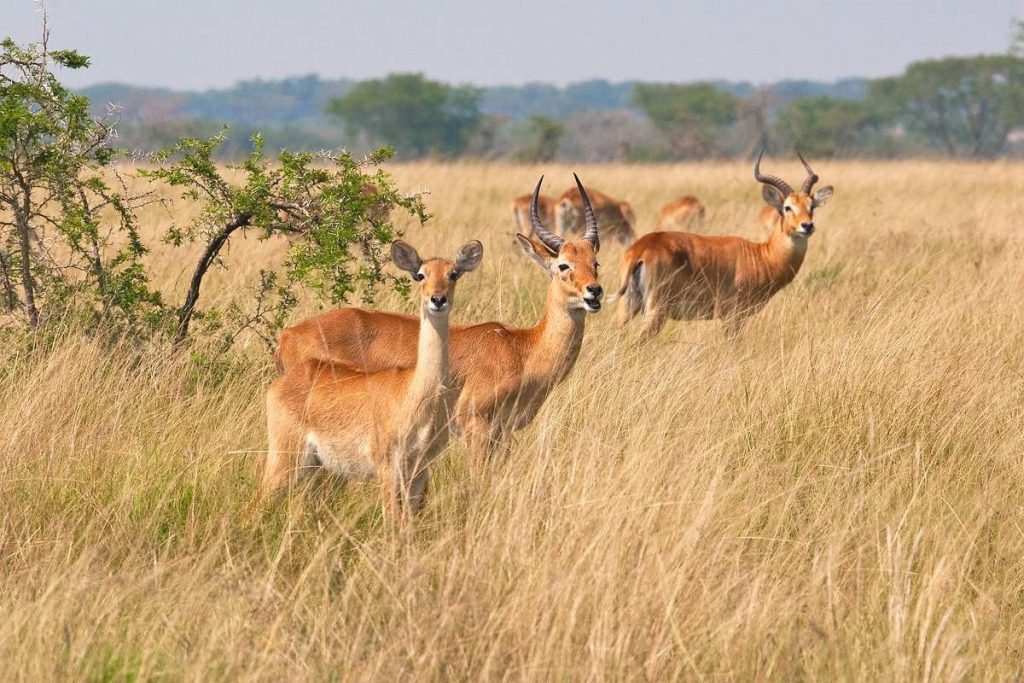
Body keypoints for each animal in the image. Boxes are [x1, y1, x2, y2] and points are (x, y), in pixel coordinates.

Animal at [264, 237, 487, 520]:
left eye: (453, 274)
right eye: (420, 275)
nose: (438, 299)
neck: (416, 393)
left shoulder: (418, 473)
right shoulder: (387, 469)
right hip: (286, 460)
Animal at [276, 176, 602, 464]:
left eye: (595, 262)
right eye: (563, 265)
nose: (594, 291)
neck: (522, 349)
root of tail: (287, 335)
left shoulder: (503, 434)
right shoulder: (475, 427)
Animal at [614, 152, 831, 339]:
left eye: (811, 206)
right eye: (787, 207)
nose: (807, 226)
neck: (761, 256)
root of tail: (641, 248)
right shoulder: (733, 317)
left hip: (628, 308)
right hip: (656, 311)